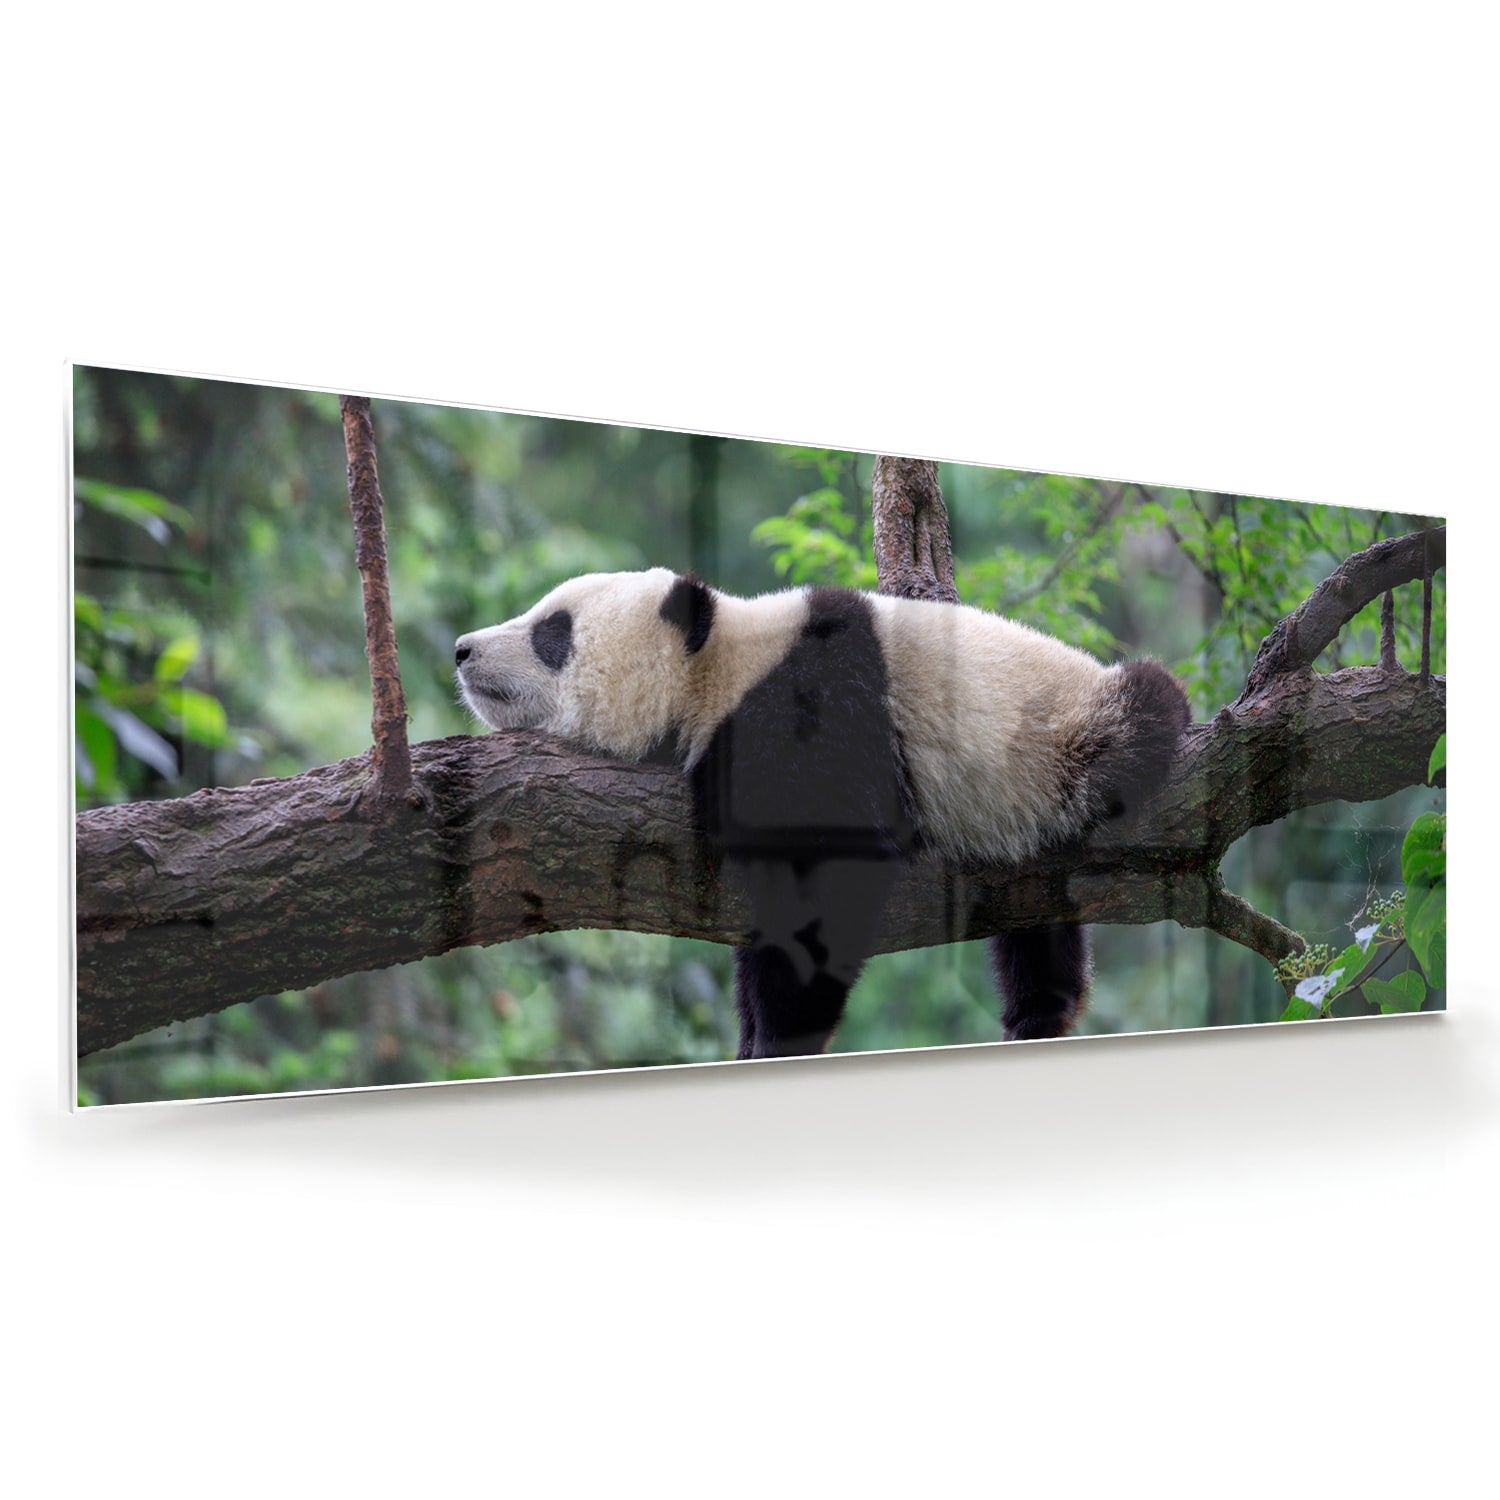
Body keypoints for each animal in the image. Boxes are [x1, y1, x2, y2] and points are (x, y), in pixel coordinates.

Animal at [455, 568, 1189, 1061]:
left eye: (553, 632)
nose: (462, 649)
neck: (717, 666)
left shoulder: (813, 708)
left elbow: (834, 871)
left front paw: (783, 1035)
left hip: (1068, 739)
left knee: (1140, 716)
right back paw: (1039, 1011)